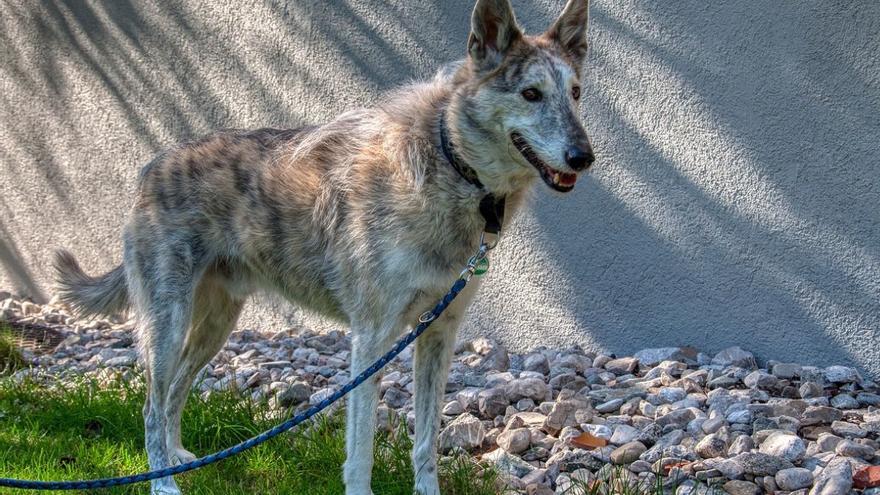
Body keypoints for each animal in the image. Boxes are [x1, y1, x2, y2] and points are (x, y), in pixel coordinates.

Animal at [53, 1, 592, 494]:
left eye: (576, 93)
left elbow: (426, 444)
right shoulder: (371, 338)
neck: (450, 163)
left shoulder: (438, 334)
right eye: (530, 94)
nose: (583, 157)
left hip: (216, 323)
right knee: (151, 403)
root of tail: (152, 168)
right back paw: (162, 482)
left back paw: (178, 459)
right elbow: (361, 450)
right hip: (167, 323)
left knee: (174, 393)